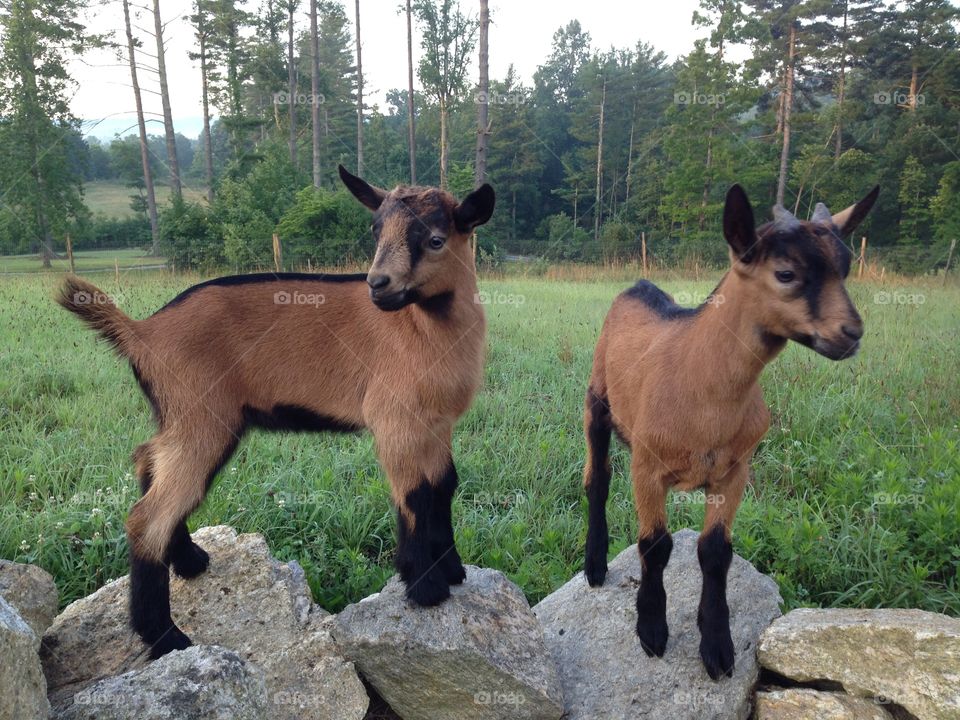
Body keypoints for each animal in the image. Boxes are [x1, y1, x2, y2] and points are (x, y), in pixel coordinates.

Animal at [58, 165, 495, 658]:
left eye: (436, 239)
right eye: (376, 231)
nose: (378, 285)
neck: (424, 328)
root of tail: (140, 331)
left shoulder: (438, 423)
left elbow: (444, 486)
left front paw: (454, 571)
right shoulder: (395, 421)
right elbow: (416, 495)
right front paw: (426, 588)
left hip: (180, 416)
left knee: (148, 462)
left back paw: (189, 562)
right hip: (201, 417)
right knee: (147, 516)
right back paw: (166, 636)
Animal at [582, 184, 878, 680]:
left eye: (844, 269)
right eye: (785, 273)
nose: (851, 333)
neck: (705, 390)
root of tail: (639, 286)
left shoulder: (735, 469)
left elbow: (715, 551)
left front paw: (717, 645)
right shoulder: (647, 465)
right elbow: (655, 545)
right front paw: (652, 630)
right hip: (597, 400)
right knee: (597, 479)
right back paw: (594, 564)